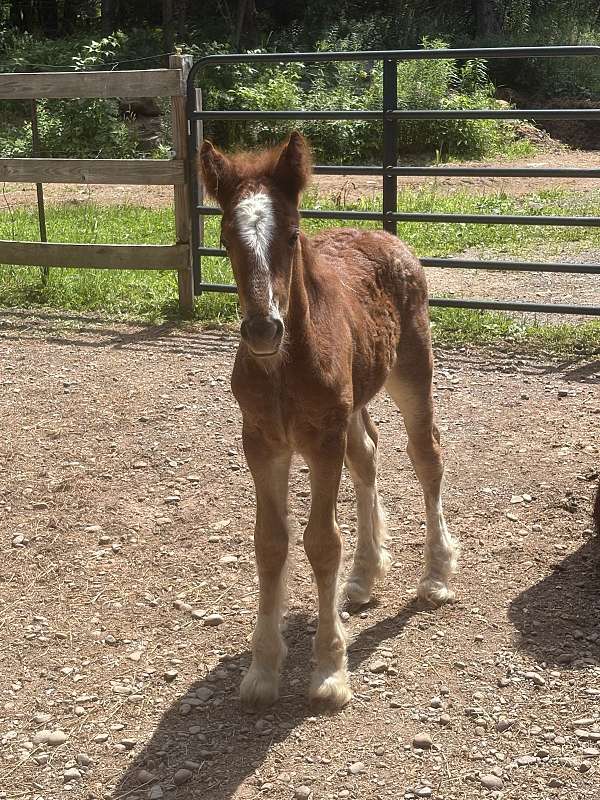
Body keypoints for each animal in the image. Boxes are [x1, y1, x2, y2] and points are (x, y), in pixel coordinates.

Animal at [199, 132, 458, 709]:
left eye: (293, 234)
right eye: (225, 237)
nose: (263, 330)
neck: (284, 366)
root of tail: (387, 236)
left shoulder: (321, 440)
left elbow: (321, 542)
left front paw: (329, 671)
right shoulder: (261, 441)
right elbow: (270, 542)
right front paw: (263, 670)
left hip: (412, 371)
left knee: (426, 455)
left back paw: (435, 576)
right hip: (354, 401)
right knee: (368, 456)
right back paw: (363, 577)